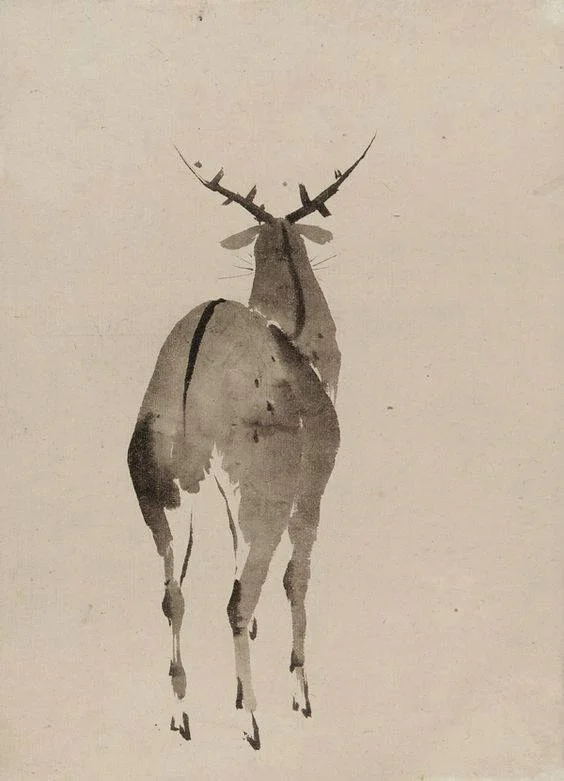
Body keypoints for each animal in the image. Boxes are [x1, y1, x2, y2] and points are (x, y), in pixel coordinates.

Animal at [127, 135, 375, 749]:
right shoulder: (311, 490)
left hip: (159, 492)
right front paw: (300, 695)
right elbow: (296, 579)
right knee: (240, 598)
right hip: (262, 494)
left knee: (174, 595)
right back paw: (253, 723)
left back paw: (182, 715)